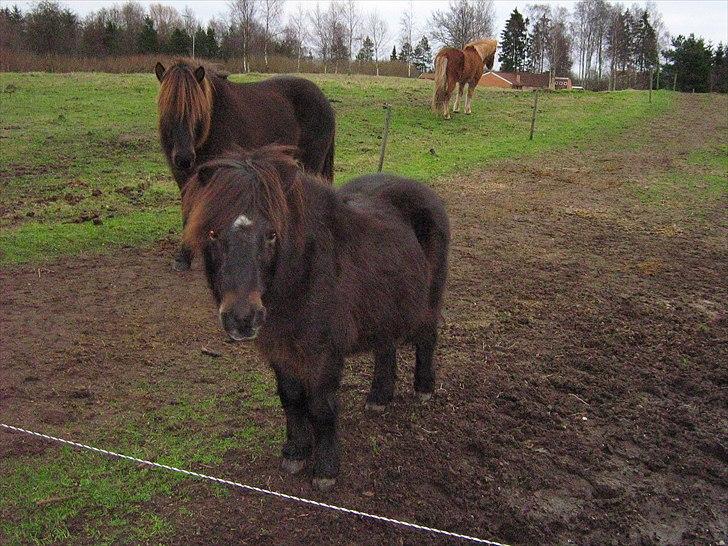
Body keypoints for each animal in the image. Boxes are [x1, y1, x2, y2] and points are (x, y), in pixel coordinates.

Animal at [155, 59, 336, 270]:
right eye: (167, 110)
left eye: (196, 110)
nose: (184, 158)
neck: (211, 125)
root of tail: (324, 100)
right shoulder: (184, 177)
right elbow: (188, 211)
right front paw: (184, 258)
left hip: (311, 163)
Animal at [182, 144, 450, 488]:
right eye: (213, 233)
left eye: (272, 234)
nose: (242, 317)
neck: (303, 276)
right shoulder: (281, 350)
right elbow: (291, 397)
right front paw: (296, 451)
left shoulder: (324, 353)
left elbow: (322, 407)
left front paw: (325, 468)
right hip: (384, 307)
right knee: (385, 347)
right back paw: (379, 397)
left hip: (429, 300)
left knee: (427, 338)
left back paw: (424, 389)